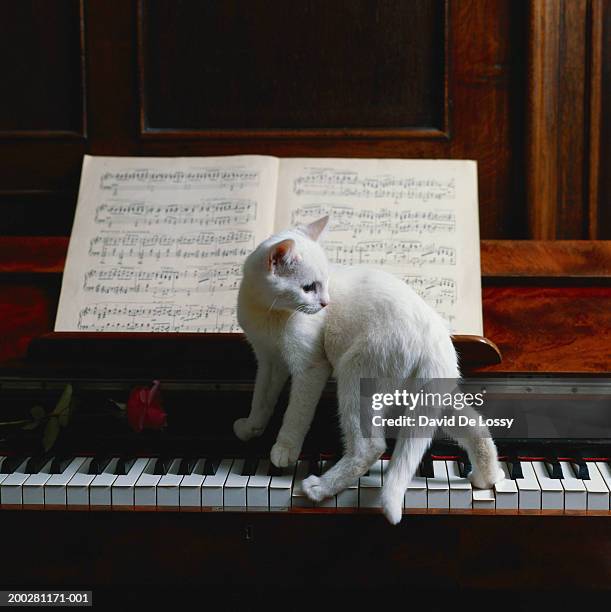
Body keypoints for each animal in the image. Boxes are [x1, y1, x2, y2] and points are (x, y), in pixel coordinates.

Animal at [234, 215, 502, 520]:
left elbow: (295, 415)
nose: (326, 303)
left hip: (354, 374)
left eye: (322, 284)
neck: (268, 313)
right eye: (309, 287)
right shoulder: (269, 361)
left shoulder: (310, 367)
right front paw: (252, 428)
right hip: (431, 396)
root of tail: (435, 336)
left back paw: (320, 488)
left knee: (371, 448)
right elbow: (261, 400)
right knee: (477, 426)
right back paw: (486, 478)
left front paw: (284, 449)